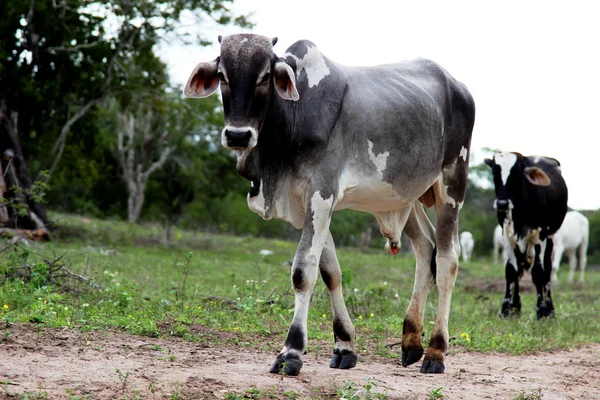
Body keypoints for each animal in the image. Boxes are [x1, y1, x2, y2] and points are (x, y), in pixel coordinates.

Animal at [486, 152, 568, 320]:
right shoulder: (508, 236)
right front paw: (506, 310)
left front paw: (541, 311)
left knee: (547, 270)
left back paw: (550, 310)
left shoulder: (539, 237)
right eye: (495, 172)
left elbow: (538, 273)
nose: (502, 203)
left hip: (550, 238)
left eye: (517, 174)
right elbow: (511, 271)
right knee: (520, 267)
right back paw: (516, 308)